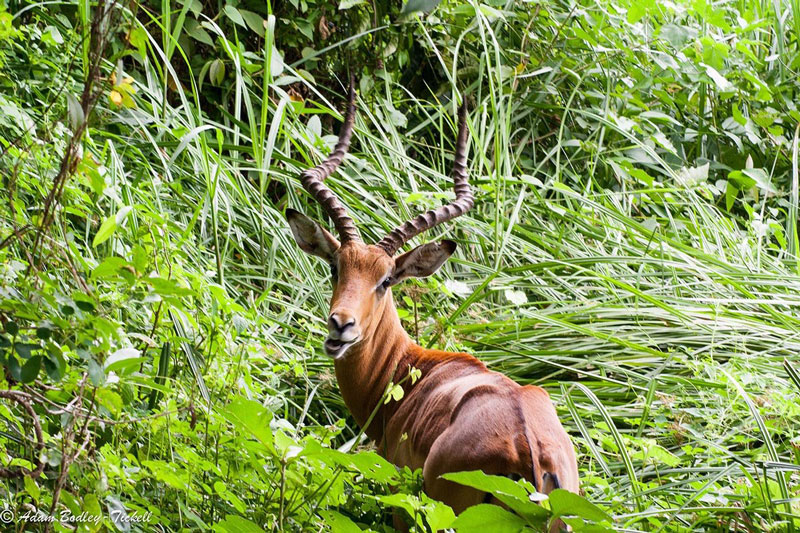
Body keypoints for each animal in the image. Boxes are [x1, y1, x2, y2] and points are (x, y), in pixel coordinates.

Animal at [285, 80, 579, 526]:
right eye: (336, 267)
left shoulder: (398, 499)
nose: (341, 325)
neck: (410, 372)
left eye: (386, 280)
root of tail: (528, 447)